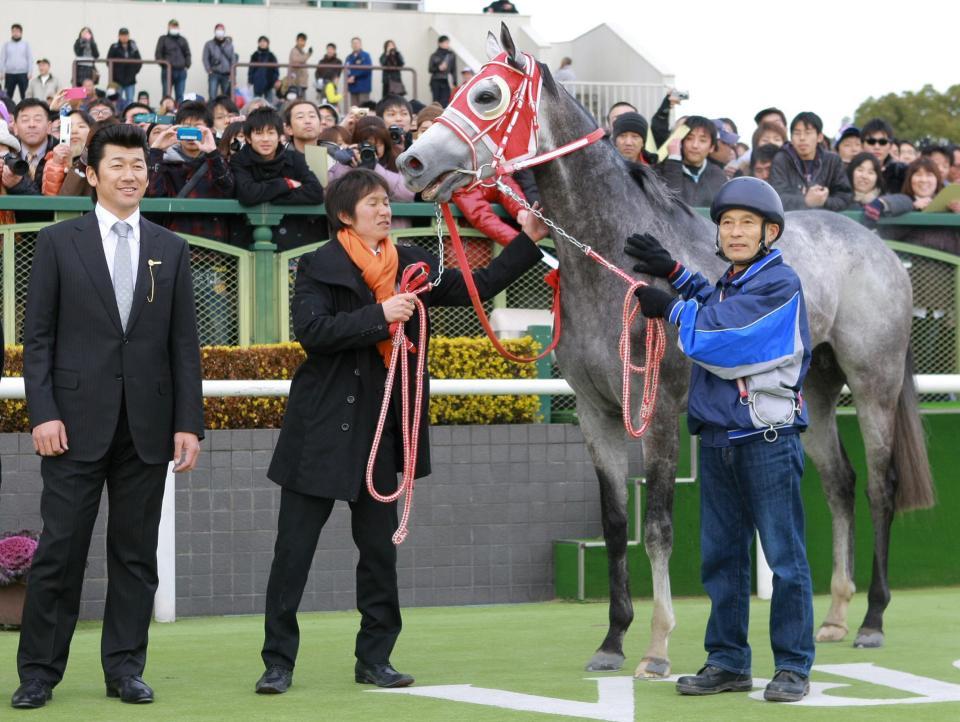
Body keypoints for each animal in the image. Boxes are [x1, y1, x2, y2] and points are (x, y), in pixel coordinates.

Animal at [396, 23, 928, 676]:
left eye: (488, 95)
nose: (411, 161)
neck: (614, 261)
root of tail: (882, 250)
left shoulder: (658, 414)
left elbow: (657, 527)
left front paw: (655, 647)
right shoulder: (597, 413)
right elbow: (615, 521)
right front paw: (612, 641)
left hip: (874, 383)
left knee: (881, 485)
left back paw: (873, 619)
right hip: (818, 391)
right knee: (840, 483)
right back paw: (833, 616)